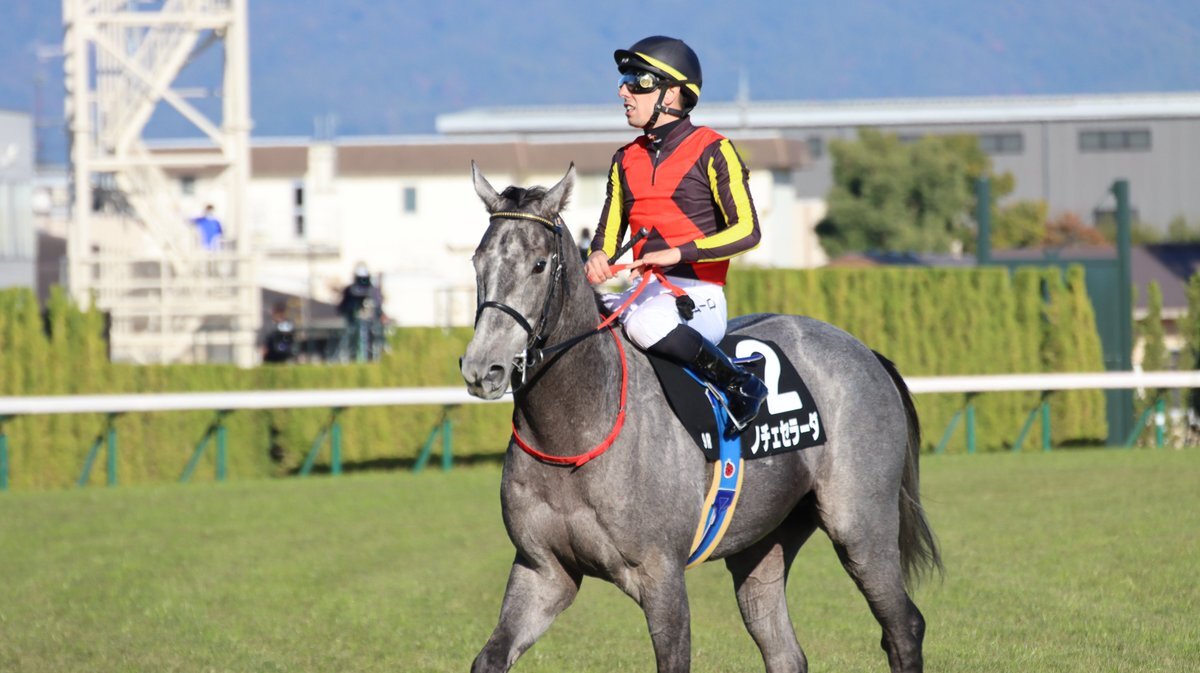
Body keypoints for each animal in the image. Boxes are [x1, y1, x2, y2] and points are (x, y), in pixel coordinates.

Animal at [459, 163, 942, 673]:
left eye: (538, 265)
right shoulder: (543, 571)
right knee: (785, 651)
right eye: (478, 261)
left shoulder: (661, 576)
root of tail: (866, 350)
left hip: (861, 528)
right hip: (761, 547)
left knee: (904, 627)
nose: (483, 369)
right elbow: (489, 659)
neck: (575, 431)